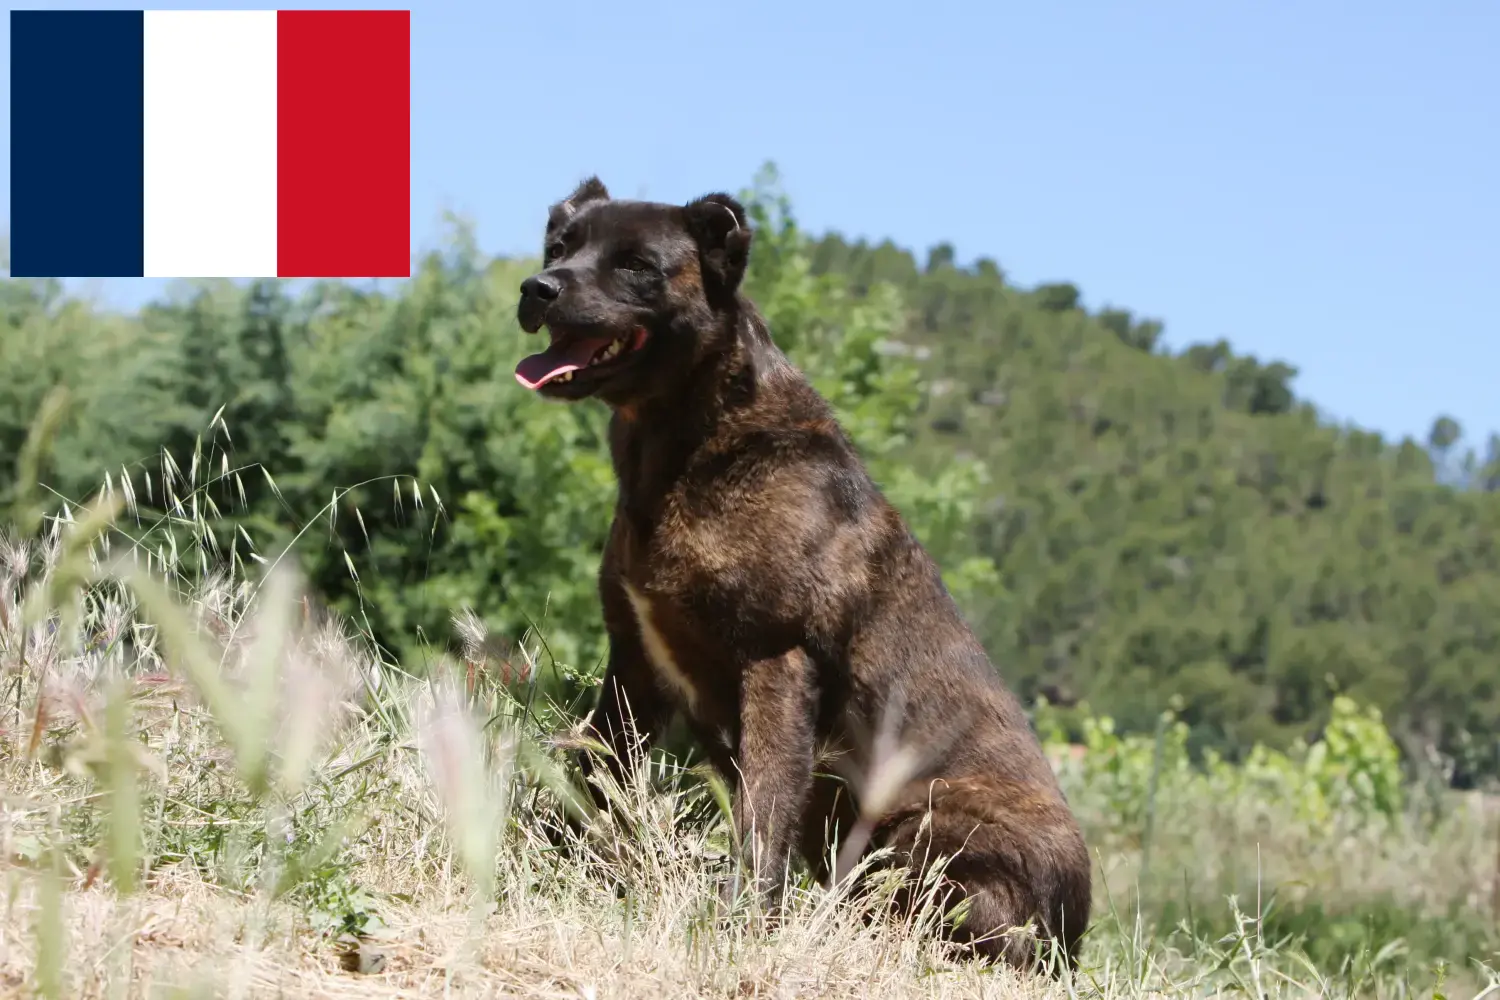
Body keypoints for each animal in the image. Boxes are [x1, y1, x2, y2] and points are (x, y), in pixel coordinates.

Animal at [516, 177, 1092, 971]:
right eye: (559, 248)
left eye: (636, 265)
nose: (537, 288)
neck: (691, 442)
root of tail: (1076, 933)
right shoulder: (634, 664)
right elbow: (595, 774)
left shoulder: (778, 663)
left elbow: (763, 813)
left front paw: (743, 921)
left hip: (923, 828)